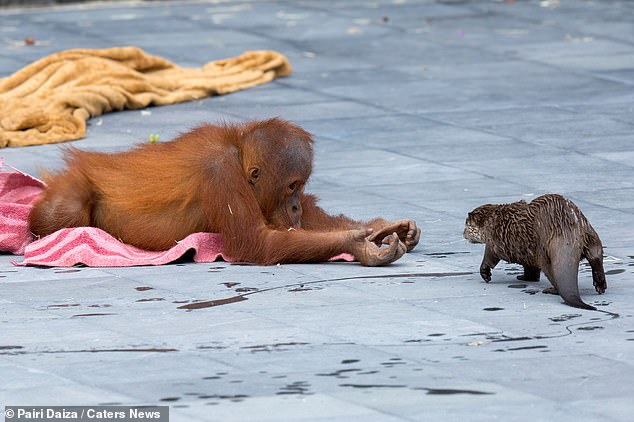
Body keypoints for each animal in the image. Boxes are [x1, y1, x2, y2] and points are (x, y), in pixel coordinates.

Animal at [462, 195, 604, 310]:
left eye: (466, 225)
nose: (463, 234)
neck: (491, 221)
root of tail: (567, 231)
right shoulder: (527, 252)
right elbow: (531, 269)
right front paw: (525, 277)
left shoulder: (494, 243)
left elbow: (489, 258)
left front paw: (486, 274)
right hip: (590, 234)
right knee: (596, 257)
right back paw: (600, 285)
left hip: (543, 252)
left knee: (552, 273)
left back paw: (551, 290)